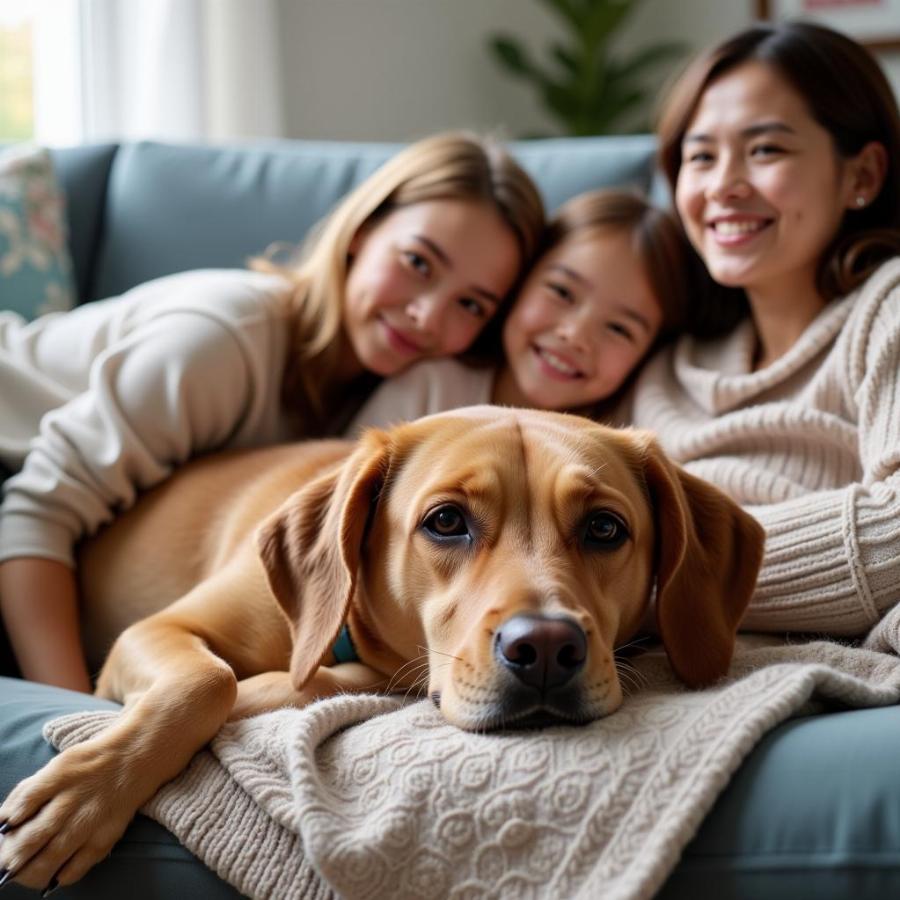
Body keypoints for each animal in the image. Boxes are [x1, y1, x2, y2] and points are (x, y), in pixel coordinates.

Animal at [0, 406, 764, 884]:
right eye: (446, 521)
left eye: (605, 529)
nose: (546, 648)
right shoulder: (154, 630)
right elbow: (206, 680)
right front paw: (82, 799)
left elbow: (284, 683)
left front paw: (274, 688)